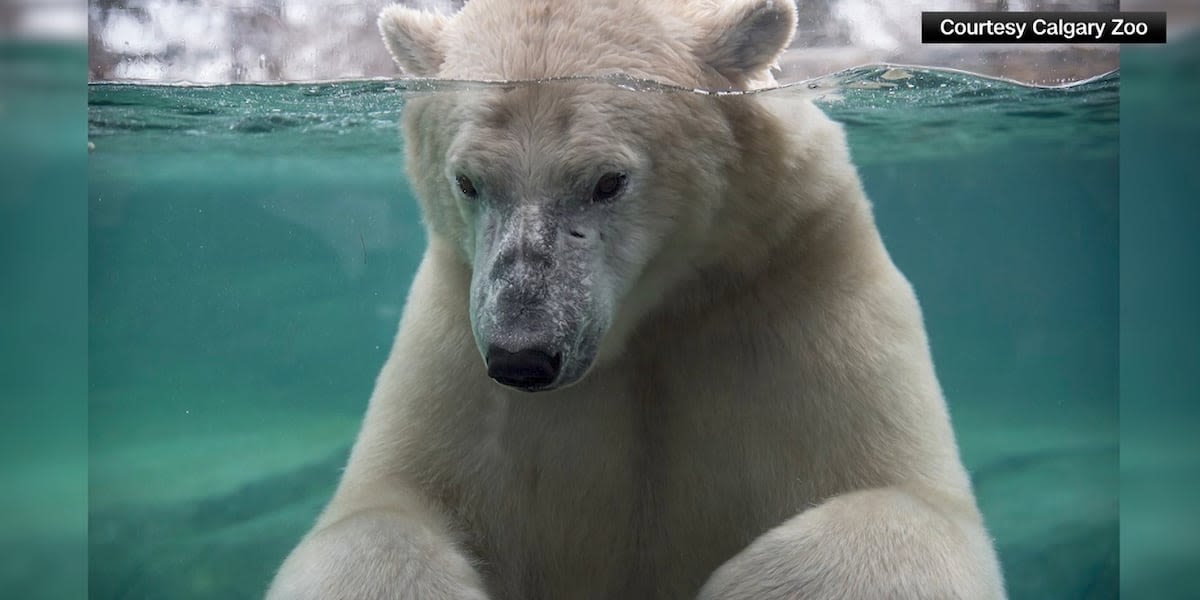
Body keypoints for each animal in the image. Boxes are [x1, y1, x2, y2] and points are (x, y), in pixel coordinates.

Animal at [265, 1, 1003, 600]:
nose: (523, 355)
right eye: (469, 181)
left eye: (607, 181)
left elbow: (902, 499)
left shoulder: (797, 284)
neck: (647, 318)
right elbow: (383, 511)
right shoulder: (455, 339)